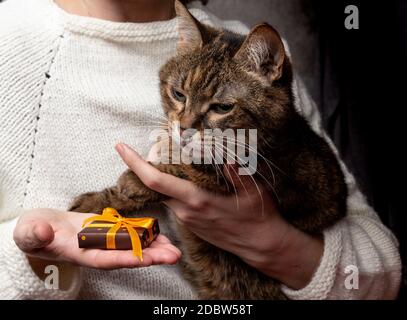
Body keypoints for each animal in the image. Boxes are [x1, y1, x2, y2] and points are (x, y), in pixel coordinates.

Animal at [69, 0, 348, 300]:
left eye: (222, 107)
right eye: (178, 94)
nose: (184, 128)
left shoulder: (267, 177)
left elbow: (183, 169)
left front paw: (133, 181)